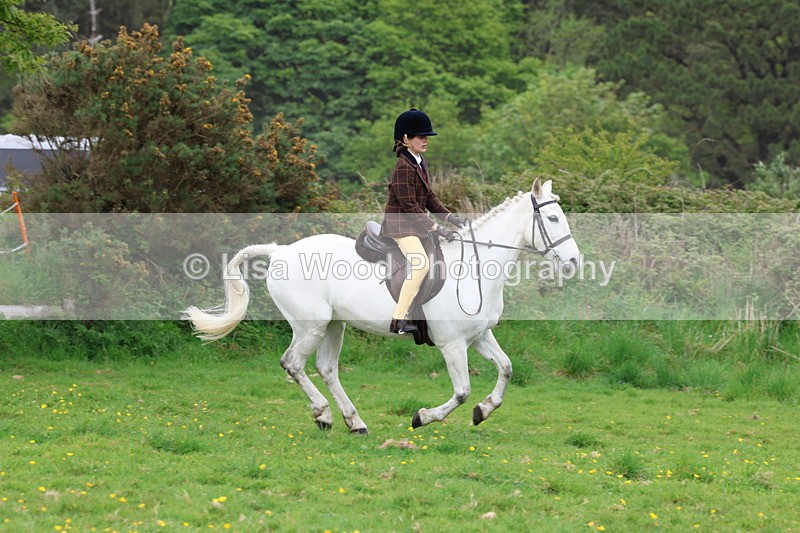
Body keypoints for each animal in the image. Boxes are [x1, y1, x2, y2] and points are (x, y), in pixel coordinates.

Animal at [183, 178, 580, 433]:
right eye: (553, 218)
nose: (574, 262)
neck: (475, 266)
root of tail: (280, 251)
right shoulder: (452, 344)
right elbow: (461, 391)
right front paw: (422, 417)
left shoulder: (480, 336)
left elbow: (507, 369)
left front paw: (483, 411)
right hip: (311, 325)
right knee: (293, 363)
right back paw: (324, 415)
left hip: (334, 324)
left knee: (327, 369)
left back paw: (354, 422)